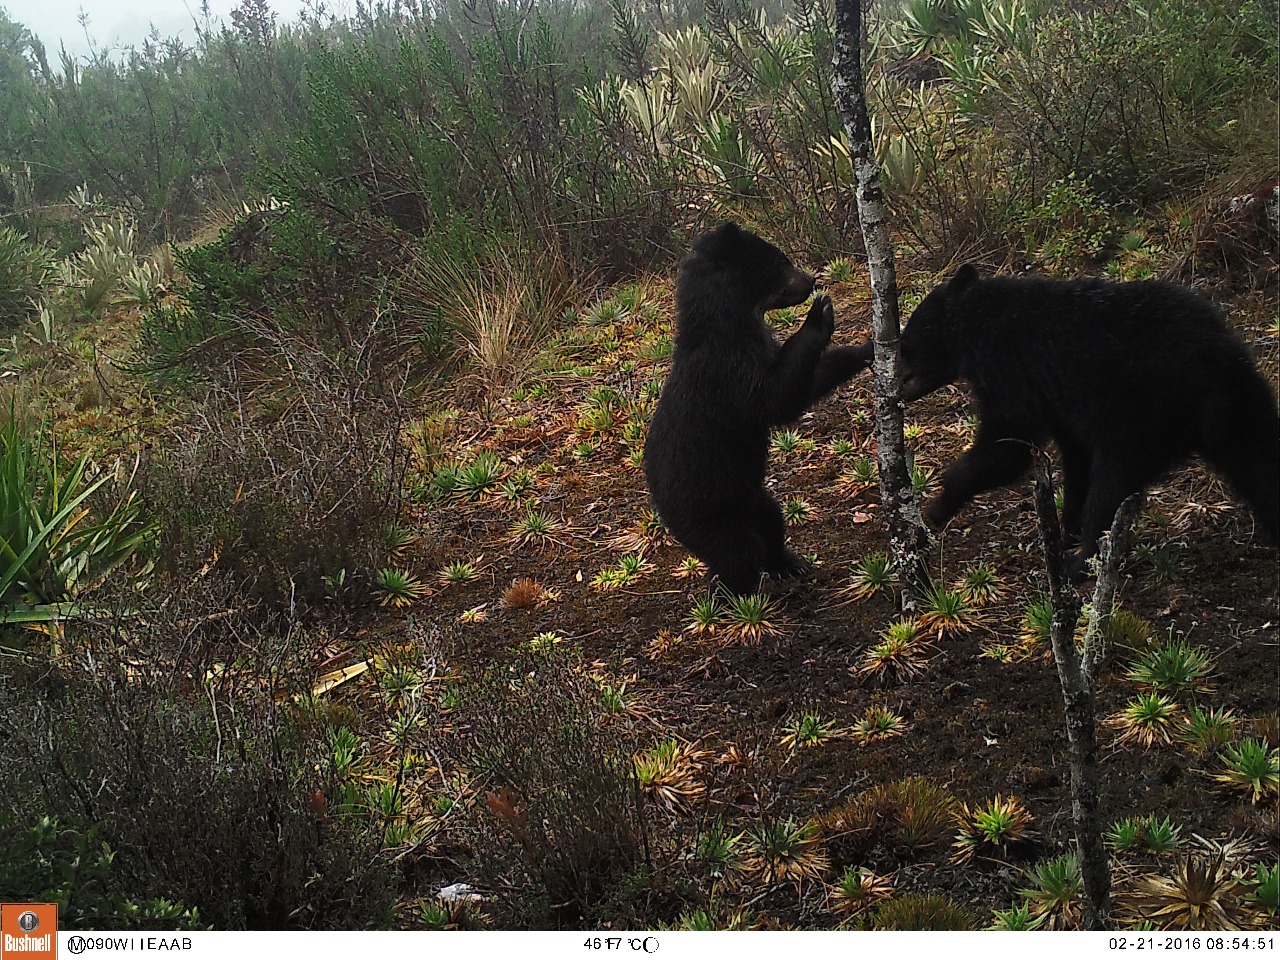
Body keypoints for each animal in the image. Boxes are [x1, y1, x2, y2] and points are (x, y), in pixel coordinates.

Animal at [650, 224, 870, 593]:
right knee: (738, 554)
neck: (736, 324)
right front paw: (821, 314)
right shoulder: (726, 373)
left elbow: (803, 384)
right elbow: (774, 399)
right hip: (703, 513)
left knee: (772, 522)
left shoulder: (762, 348)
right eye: (780, 261)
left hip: (752, 496)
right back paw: (728, 592)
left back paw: (790, 563)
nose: (812, 279)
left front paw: (866, 349)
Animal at [896, 264, 1274, 570]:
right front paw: (1066, 531)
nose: (893, 383)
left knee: (1112, 483)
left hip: (1139, 415)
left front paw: (938, 505)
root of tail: (1216, 361)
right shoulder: (1061, 405)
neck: (974, 322)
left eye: (904, 343)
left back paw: (1081, 562)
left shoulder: (1009, 370)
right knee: (1259, 465)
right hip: (1243, 409)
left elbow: (1007, 445)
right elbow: (1075, 459)